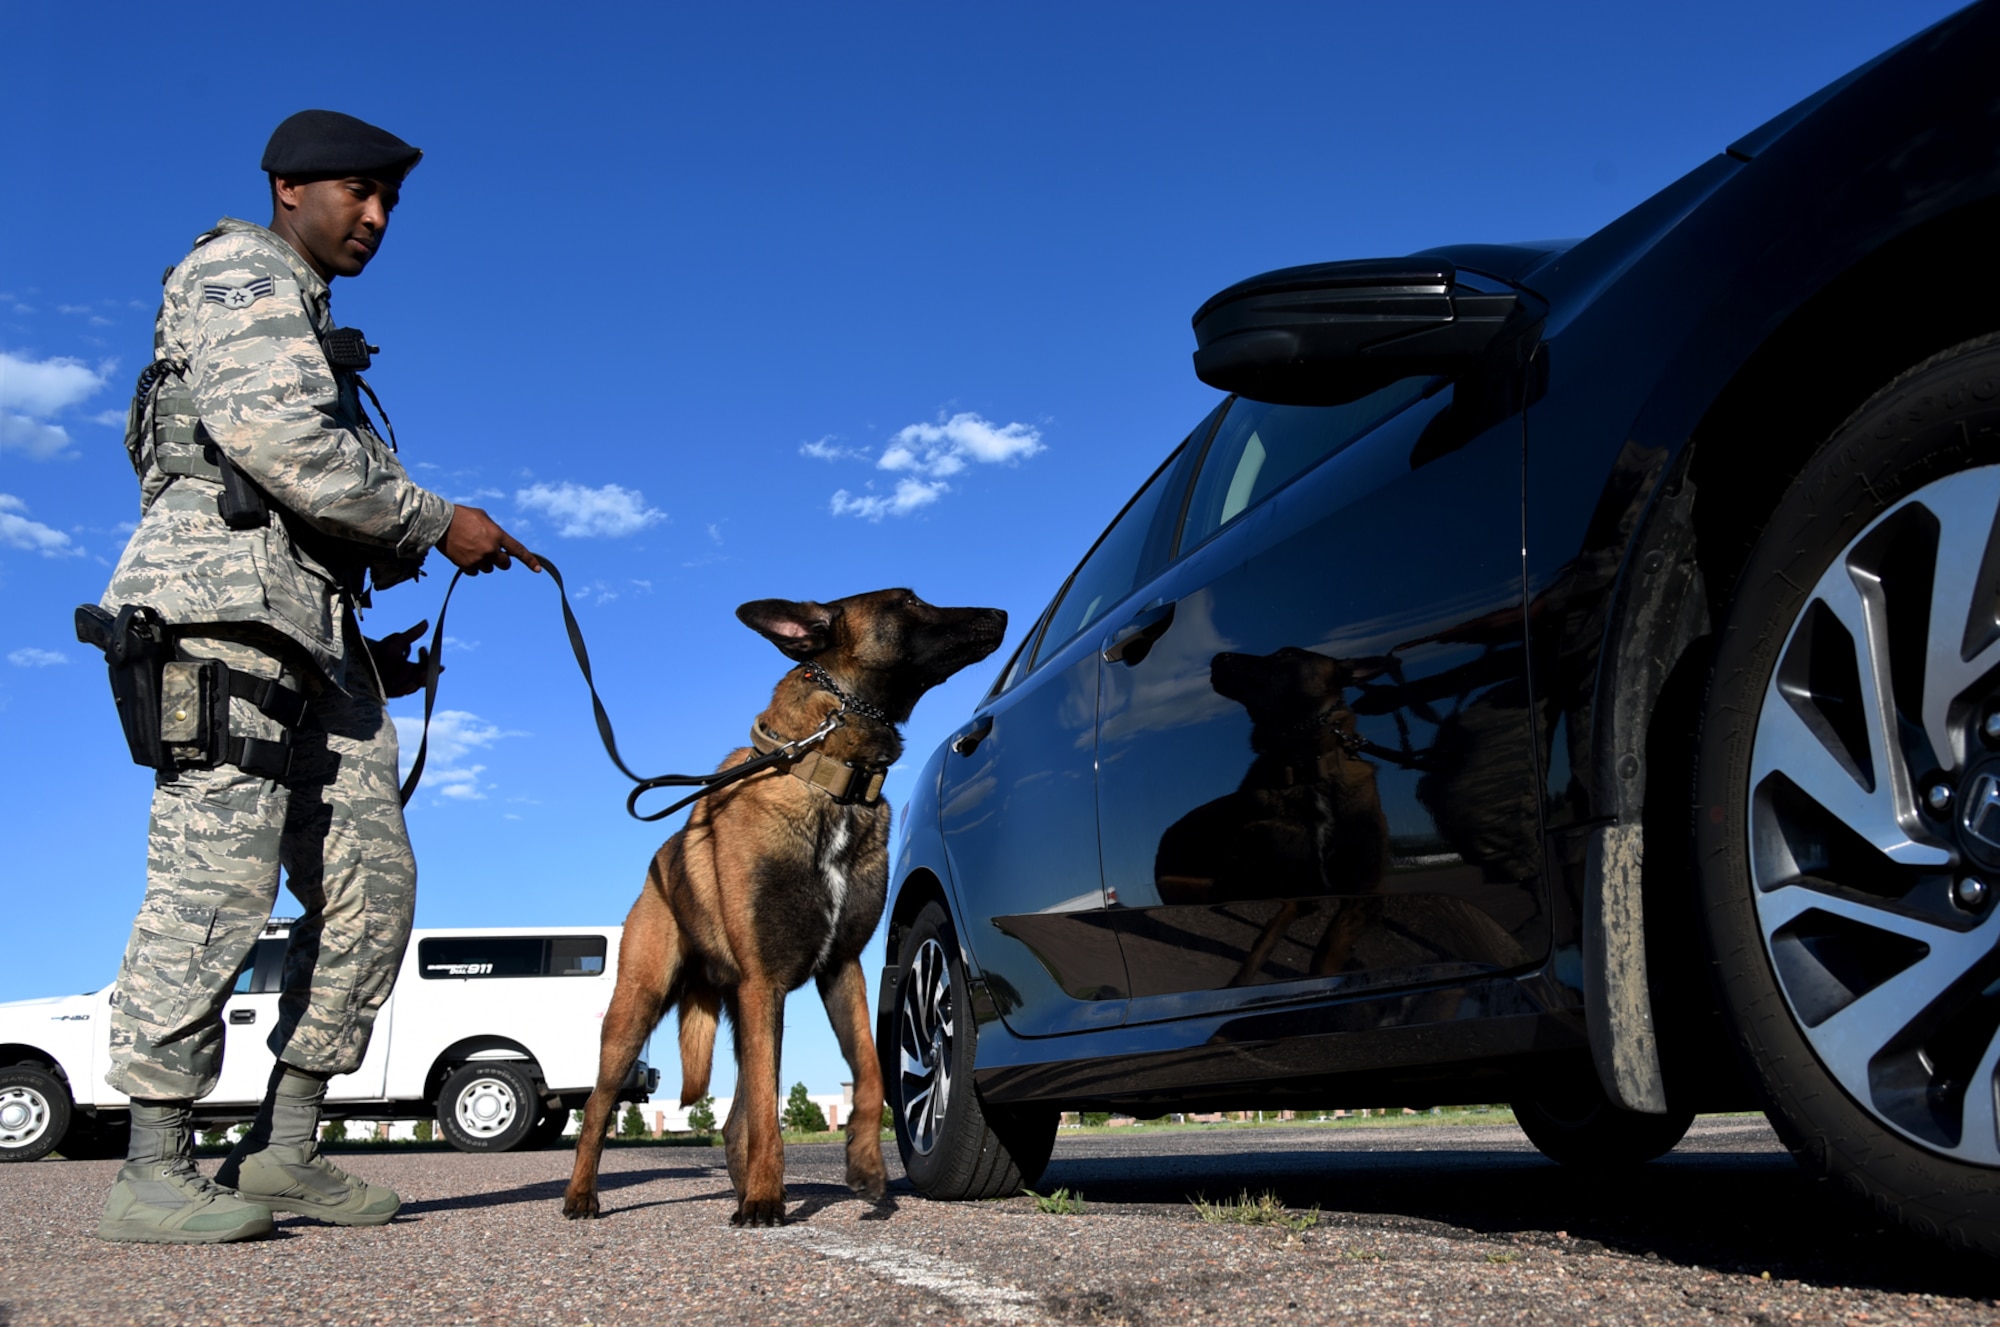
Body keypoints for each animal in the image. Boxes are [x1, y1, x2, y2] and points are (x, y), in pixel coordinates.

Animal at [560, 587, 1000, 1231]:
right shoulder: (765, 983)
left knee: (731, 1119)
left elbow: (869, 1074)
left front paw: (864, 1167)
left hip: (744, 1011)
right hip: (638, 1010)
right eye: (909, 601)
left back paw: (743, 1186)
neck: (829, 776)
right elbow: (770, 1110)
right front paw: (768, 1199)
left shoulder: (840, 971)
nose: (1000, 615)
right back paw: (583, 1195)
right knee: (598, 1108)